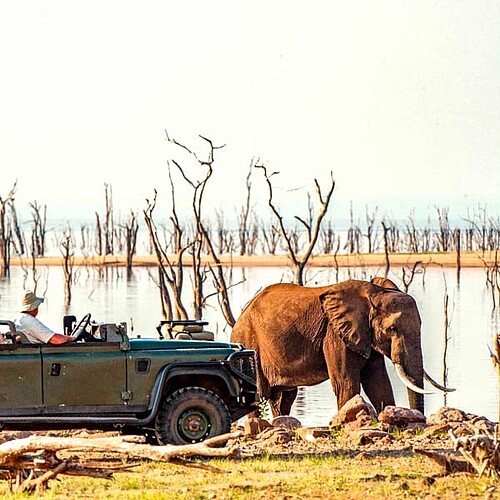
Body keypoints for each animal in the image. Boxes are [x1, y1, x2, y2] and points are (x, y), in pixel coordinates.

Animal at [230, 278, 454, 418]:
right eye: (392, 329)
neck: (373, 293)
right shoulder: (335, 335)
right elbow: (346, 384)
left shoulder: (365, 335)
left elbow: (378, 383)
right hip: (250, 343)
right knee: (258, 395)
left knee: (283, 398)